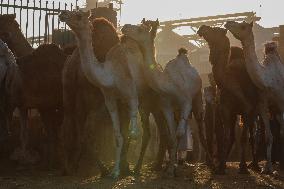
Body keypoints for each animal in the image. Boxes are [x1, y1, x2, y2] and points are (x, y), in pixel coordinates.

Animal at [59, 9, 140, 179]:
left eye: (78, 14)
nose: (62, 14)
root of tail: (73, 66)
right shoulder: (116, 101)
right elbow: (123, 133)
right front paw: (123, 168)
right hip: (93, 104)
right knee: (87, 132)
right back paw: (101, 169)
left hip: (69, 97)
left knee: (69, 127)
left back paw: (69, 168)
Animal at [121, 18, 206, 176]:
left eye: (140, 29)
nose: (125, 27)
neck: (169, 84)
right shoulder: (166, 105)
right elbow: (172, 137)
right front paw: (171, 169)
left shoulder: (186, 102)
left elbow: (179, 133)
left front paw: (173, 167)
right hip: (176, 110)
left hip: (197, 97)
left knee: (199, 127)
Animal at [197, 25, 260, 174]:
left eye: (215, 29)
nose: (202, 27)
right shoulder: (225, 109)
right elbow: (225, 137)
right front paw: (221, 167)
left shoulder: (247, 110)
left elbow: (243, 138)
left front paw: (243, 167)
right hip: (234, 114)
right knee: (232, 135)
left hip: (254, 111)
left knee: (253, 135)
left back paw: (254, 164)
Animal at [225, 20, 284, 173]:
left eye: (243, 26)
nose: (227, 23)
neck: (268, 80)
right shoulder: (263, 104)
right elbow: (268, 137)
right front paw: (267, 168)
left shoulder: (281, 104)